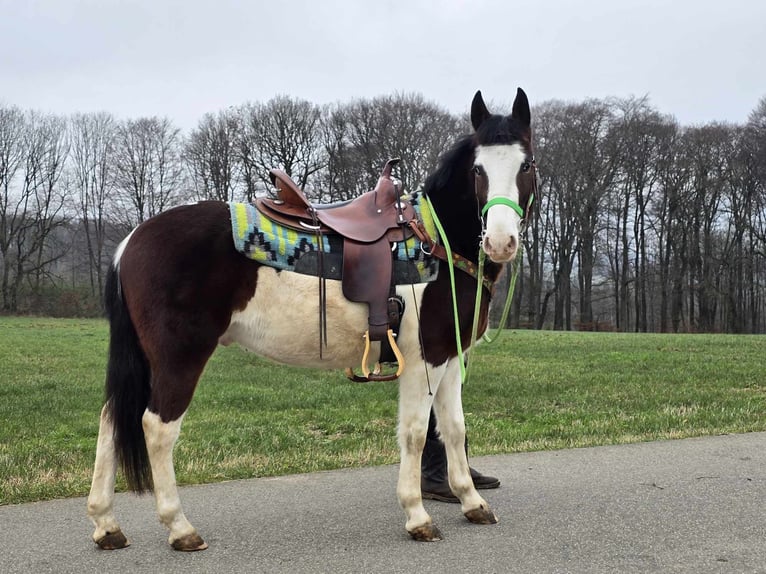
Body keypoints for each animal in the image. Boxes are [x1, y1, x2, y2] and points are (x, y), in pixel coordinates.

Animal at [85, 88, 540, 552]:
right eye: (478, 169)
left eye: (526, 164)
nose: (500, 241)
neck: (436, 243)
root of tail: (131, 241)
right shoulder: (423, 360)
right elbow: (415, 432)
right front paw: (417, 516)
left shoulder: (448, 357)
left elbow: (453, 428)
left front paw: (472, 501)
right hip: (179, 357)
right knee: (156, 428)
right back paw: (180, 528)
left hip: (147, 359)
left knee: (111, 420)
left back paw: (107, 524)